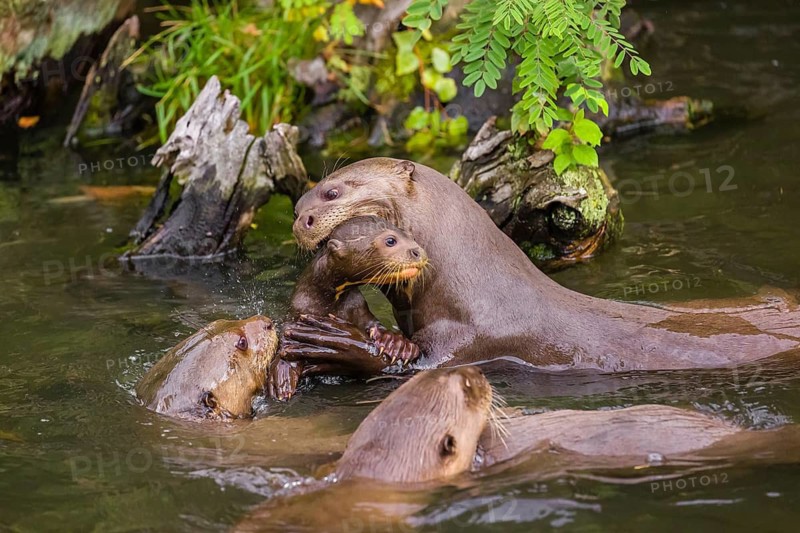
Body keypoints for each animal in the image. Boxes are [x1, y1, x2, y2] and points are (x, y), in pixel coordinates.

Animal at [284, 157, 800, 373]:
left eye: (332, 191)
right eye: (303, 196)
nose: (299, 217)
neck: (471, 285)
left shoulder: (468, 341)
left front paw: (340, 344)